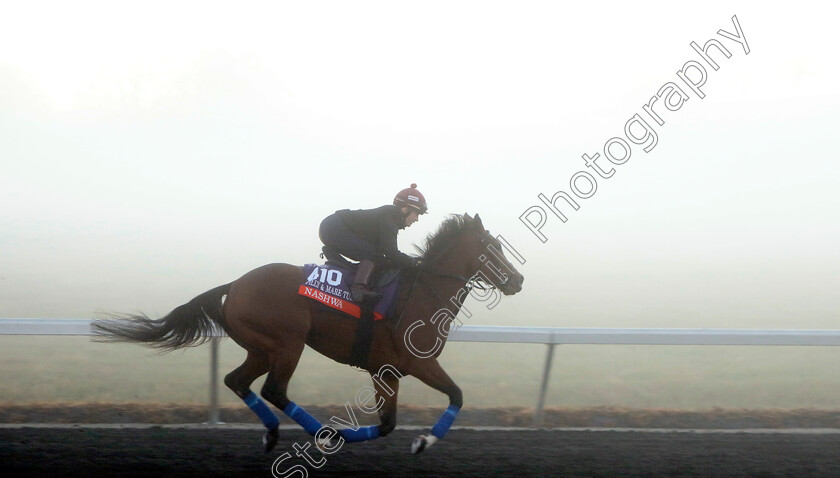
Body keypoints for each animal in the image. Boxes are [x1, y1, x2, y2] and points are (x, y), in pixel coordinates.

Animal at [92, 214, 524, 456]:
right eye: (491, 247)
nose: (518, 280)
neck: (422, 294)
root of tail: (237, 283)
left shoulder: (388, 371)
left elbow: (395, 420)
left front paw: (418, 441)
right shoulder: (409, 364)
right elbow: (453, 397)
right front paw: (423, 442)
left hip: (261, 347)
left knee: (238, 381)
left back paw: (272, 434)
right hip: (288, 343)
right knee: (274, 390)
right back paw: (325, 435)